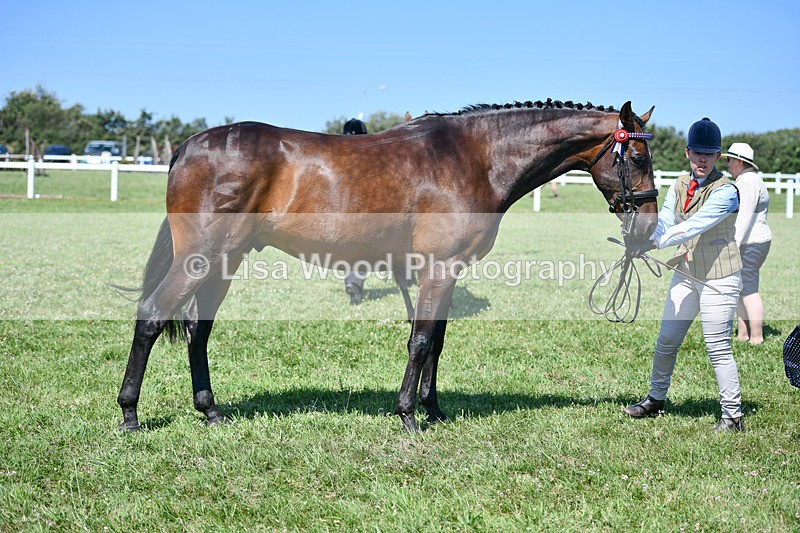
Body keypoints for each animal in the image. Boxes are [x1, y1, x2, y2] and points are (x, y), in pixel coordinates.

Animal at [117, 99, 659, 433]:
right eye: (636, 156)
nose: (650, 224)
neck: (474, 158)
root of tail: (189, 146)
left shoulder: (445, 271)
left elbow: (436, 340)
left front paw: (434, 409)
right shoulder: (437, 267)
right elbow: (420, 340)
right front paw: (407, 415)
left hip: (224, 261)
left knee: (197, 330)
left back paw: (210, 411)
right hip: (201, 258)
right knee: (151, 316)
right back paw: (130, 415)